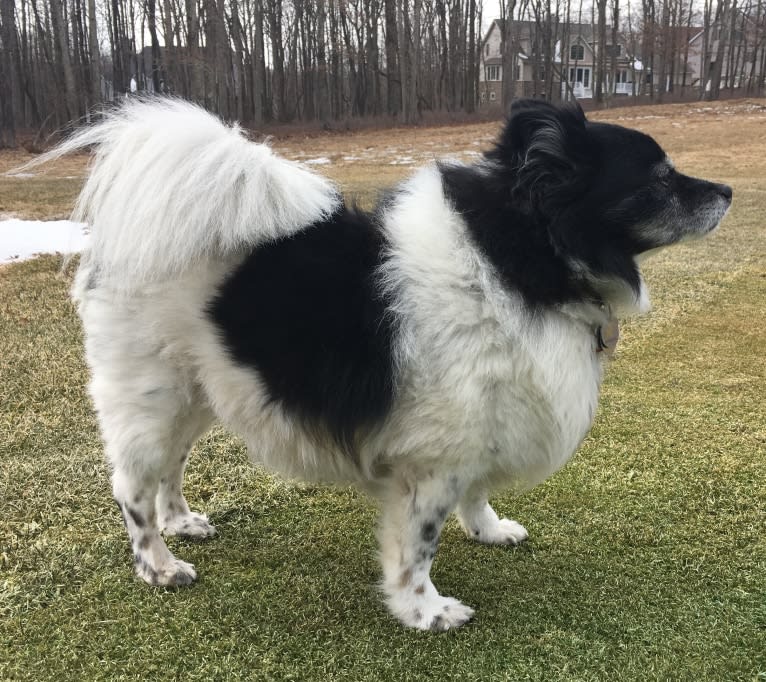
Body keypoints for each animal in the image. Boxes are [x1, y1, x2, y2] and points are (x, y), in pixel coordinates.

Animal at [46, 95, 732, 628]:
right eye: (660, 179)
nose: (726, 189)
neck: (519, 259)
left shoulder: (479, 420)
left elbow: (477, 489)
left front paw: (487, 529)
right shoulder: (430, 461)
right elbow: (418, 547)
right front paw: (423, 611)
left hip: (198, 390)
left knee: (170, 467)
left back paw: (182, 522)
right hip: (151, 396)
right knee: (133, 486)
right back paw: (158, 565)